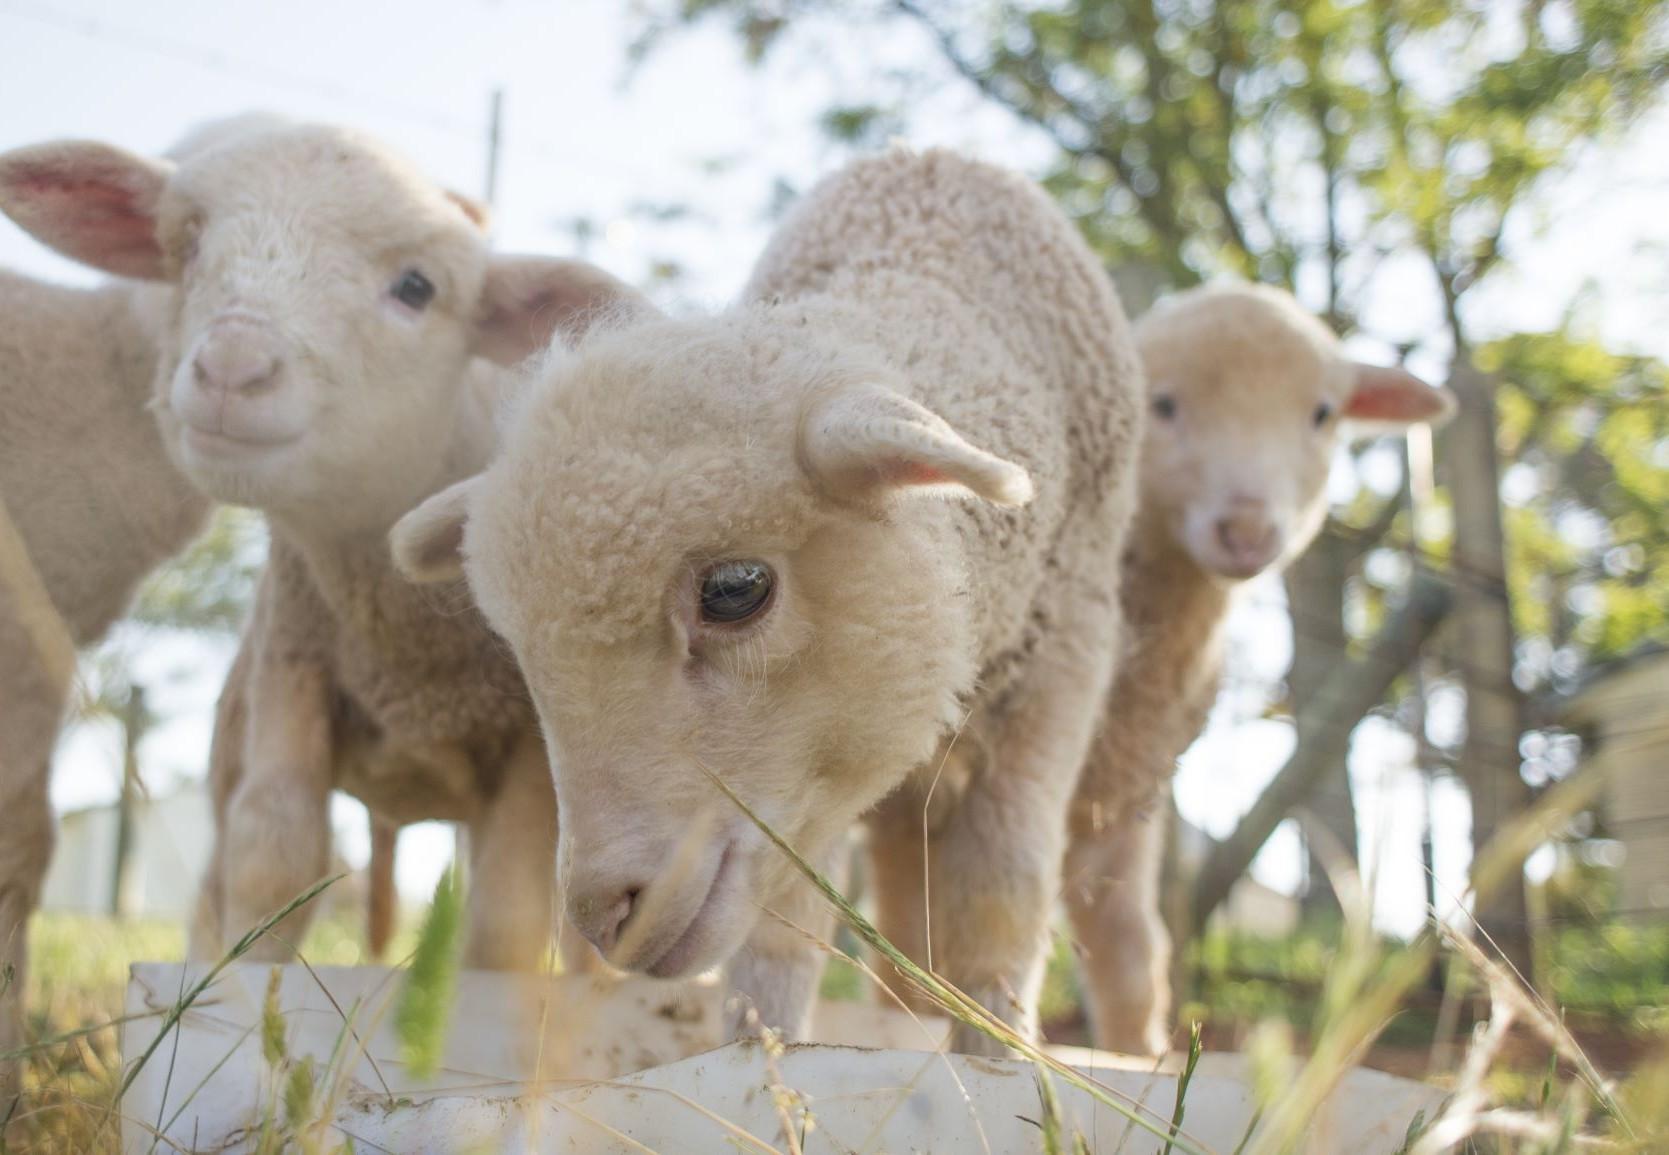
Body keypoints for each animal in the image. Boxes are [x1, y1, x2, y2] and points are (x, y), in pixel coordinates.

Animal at [1, 118, 636, 977]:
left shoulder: (530, 742)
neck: (407, 634)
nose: (233, 366)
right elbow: (273, 855)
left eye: (416, 288)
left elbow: (506, 920)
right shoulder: (293, 662)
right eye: (188, 244)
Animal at [392, 147, 1146, 1053]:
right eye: (520, 649)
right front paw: (763, 1049)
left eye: (734, 590)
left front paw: (1000, 1052)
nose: (602, 915)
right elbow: (784, 925)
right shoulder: (803, 789)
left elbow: (1003, 894)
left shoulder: (1062, 659)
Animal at [1062, 281, 1456, 1055]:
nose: (1245, 530)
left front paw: (1134, 1060)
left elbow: (1129, 952)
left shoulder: (1124, 778)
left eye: (1322, 413)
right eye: (1161, 404)